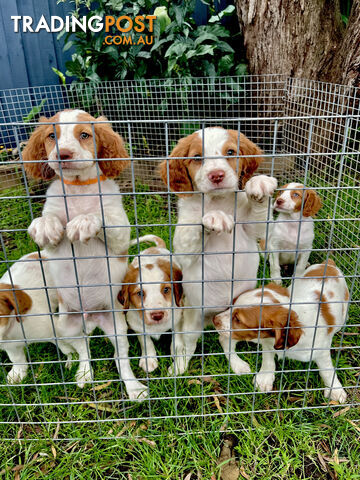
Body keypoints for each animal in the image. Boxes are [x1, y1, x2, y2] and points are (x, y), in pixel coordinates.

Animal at [0, 251, 79, 382]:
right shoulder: (10, 346)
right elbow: (16, 359)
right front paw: (18, 373)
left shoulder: (54, 331)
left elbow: (66, 348)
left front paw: (74, 361)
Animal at [119, 234, 183, 374]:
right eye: (140, 293)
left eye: (166, 290)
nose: (157, 315)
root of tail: (156, 248)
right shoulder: (136, 324)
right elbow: (145, 341)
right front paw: (149, 359)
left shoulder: (179, 316)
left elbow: (177, 337)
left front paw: (178, 357)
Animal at [214, 260, 348, 404]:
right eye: (232, 305)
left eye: (238, 319)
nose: (214, 320)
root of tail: (328, 263)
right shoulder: (267, 343)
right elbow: (267, 359)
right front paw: (264, 378)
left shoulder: (320, 350)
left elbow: (327, 370)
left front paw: (336, 390)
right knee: (224, 341)